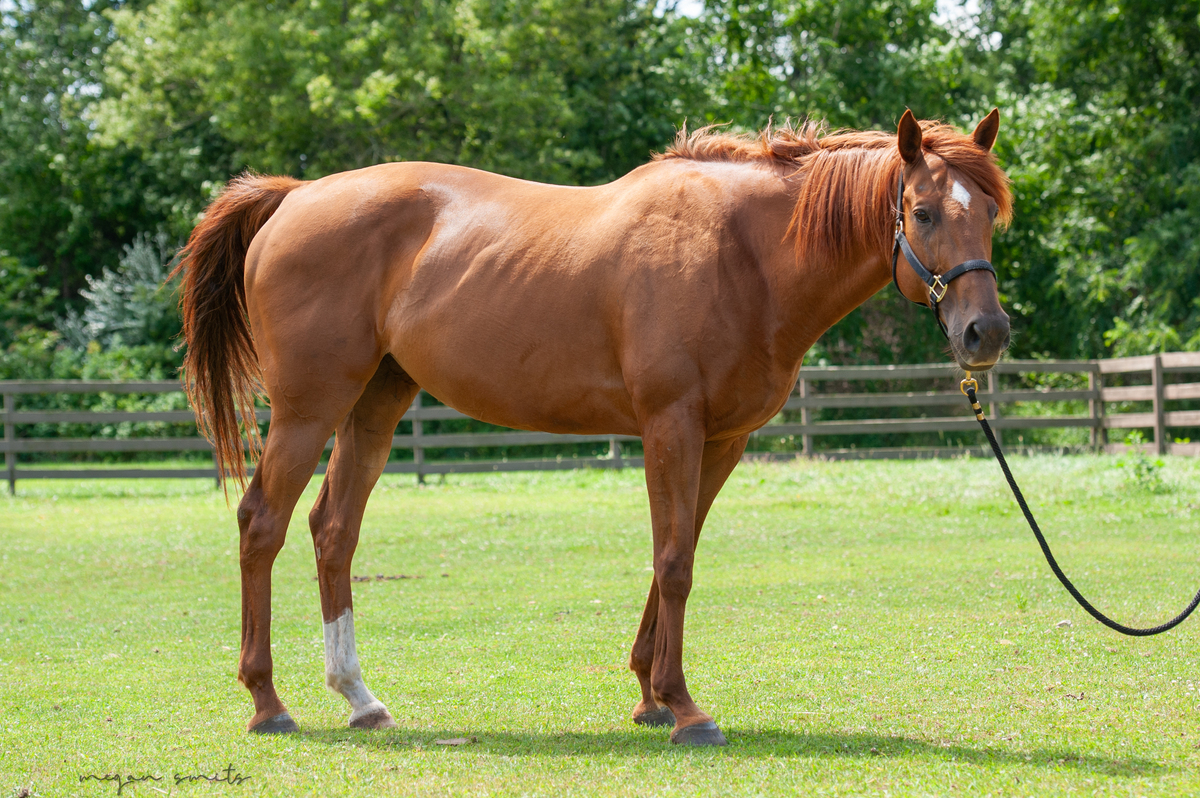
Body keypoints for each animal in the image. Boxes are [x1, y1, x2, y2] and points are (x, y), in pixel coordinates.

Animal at [174, 109, 1013, 746]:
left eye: (990, 216)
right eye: (923, 212)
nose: (987, 333)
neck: (742, 252)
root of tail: (294, 197)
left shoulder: (720, 441)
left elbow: (674, 553)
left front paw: (650, 696)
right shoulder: (671, 426)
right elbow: (674, 562)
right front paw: (686, 709)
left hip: (376, 405)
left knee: (333, 531)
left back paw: (359, 697)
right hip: (309, 410)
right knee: (263, 523)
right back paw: (268, 703)